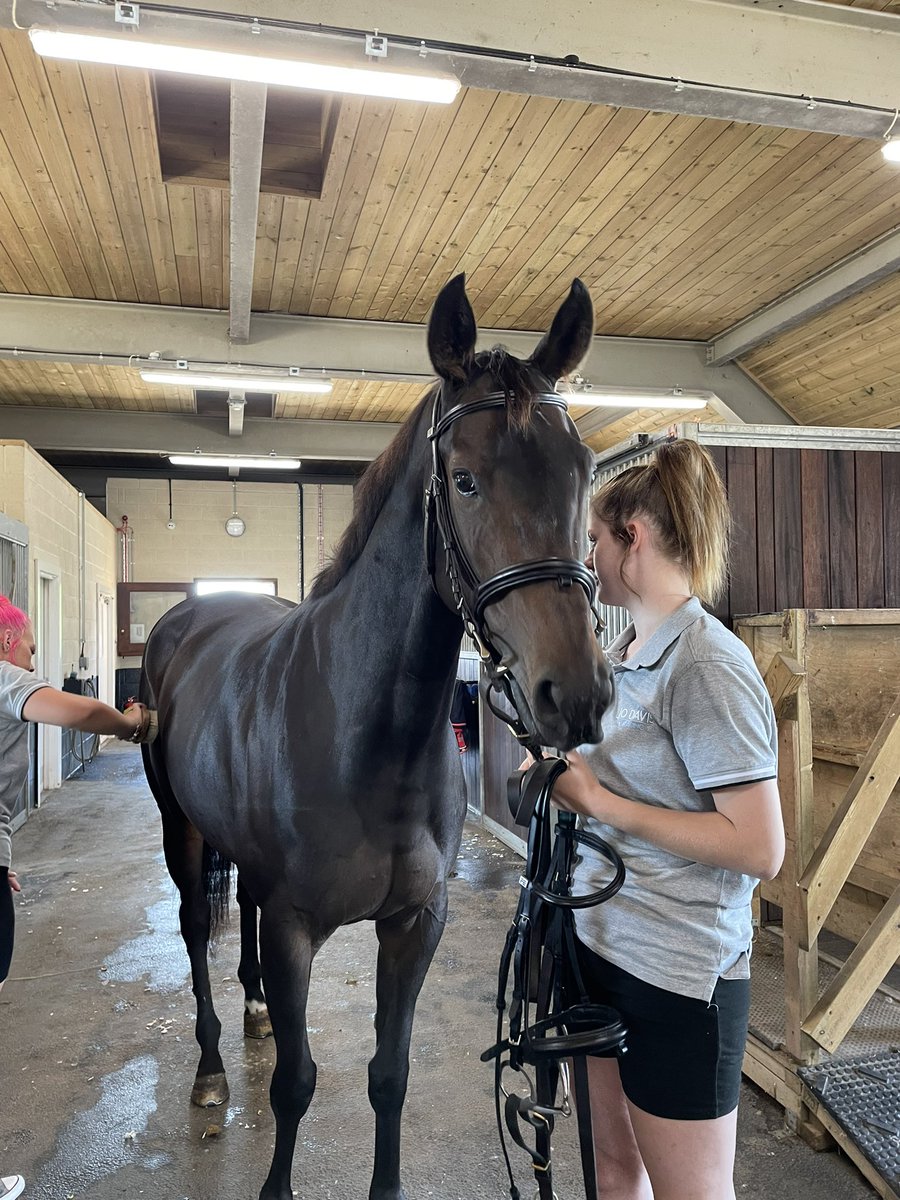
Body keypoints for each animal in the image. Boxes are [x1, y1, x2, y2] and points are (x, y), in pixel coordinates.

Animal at [139, 273, 614, 1200]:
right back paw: (211, 1067)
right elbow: (296, 1083)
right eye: (463, 480)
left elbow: (388, 1075)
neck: (366, 737)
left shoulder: (414, 924)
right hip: (181, 832)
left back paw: (253, 1012)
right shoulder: (295, 929)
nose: (573, 695)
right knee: (192, 926)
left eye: (582, 474)